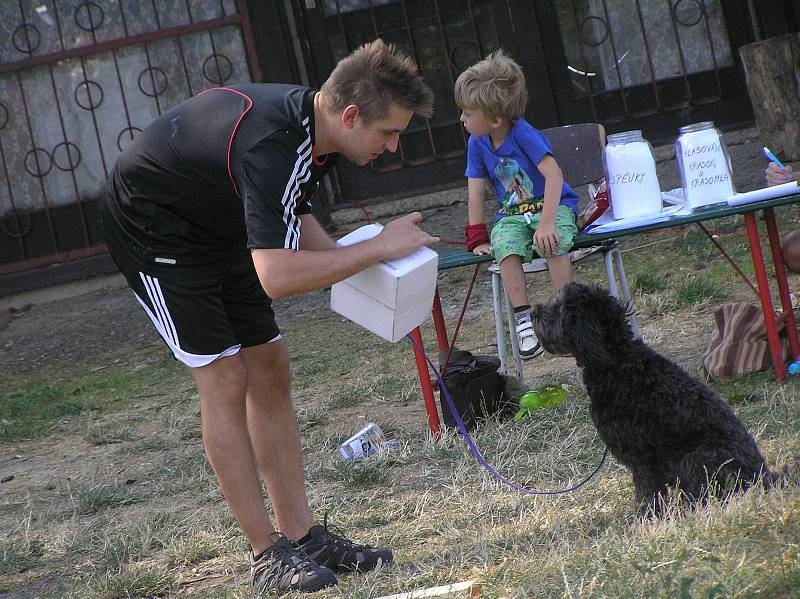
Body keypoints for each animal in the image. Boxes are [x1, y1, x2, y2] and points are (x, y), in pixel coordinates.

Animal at [532, 282, 780, 516]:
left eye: (560, 308)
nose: (533, 312)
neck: (617, 361)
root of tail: (765, 476)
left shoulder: (643, 459)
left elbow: (647, 493)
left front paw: (645, 518)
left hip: (697, 458)